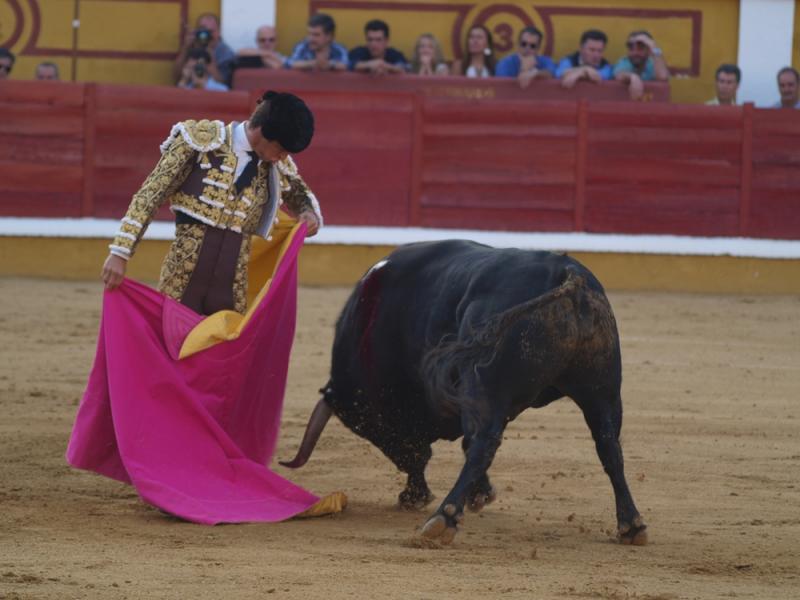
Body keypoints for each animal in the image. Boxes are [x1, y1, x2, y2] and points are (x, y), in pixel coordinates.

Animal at [284, 239, 648, 544]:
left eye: (372, 429)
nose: (414, 495)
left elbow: (465, 443)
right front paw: (477, 494)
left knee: (484, 445)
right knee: (609, 447)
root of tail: (569, 277)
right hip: (603, 392)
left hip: (490, 389)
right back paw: (631, 525)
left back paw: (442, 519)